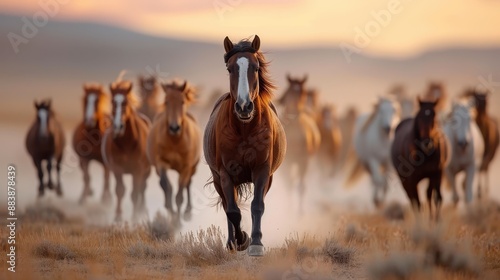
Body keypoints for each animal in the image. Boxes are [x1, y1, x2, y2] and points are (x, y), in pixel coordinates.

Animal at [100, 80, 150, 221]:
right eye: (112, 102)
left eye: (125, 102)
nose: (118, 126)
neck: (127, 143)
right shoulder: (117, 169)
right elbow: (120, 190)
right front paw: (118, 216)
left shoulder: (138, 171)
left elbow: (135, 193)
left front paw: (134, 217)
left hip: (147, 171)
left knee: (143, 188)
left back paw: (142, 209)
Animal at [146, 80, 201, 222]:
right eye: (166, 102)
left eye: (182, 101)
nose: (174, 128)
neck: (175, 141)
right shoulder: (161, 163)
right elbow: (166, 187)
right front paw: (171, 212)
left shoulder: (186, 167)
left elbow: (180, 194)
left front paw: (178, 221)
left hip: (193, 167)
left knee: (188, 184)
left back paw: (187, 212)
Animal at [203, 35, 288, 256]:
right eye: (230, 68)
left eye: (256, 67)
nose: (244, 106)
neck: (244, 130)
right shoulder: (225, 173)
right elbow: (232, 211)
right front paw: (241, 240)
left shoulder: (262, 170)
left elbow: (257, 205)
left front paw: (256, 243)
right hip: (218, 179)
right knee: (228, 206)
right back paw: (232, 243)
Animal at [278, 74, 320, 212]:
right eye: (289, 91)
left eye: (303, 92)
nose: (294, 112)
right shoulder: (287, 163)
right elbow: (289, 184)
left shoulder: (304, 161)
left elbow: (301, 186)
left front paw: (300, 212)